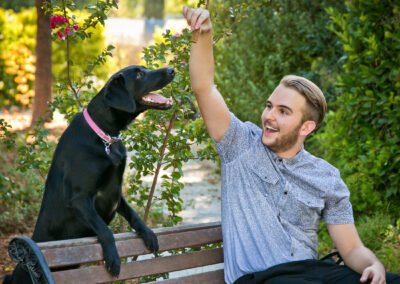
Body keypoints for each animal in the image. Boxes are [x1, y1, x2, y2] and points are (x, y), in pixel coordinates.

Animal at [3, 65, 175, 282]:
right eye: (139, 74)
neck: (105, 135)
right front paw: (113, 259)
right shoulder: (80, 198)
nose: (172, 69)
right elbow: (105, 229)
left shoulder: (116, 193)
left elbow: (134, 214)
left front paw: (149, 234)